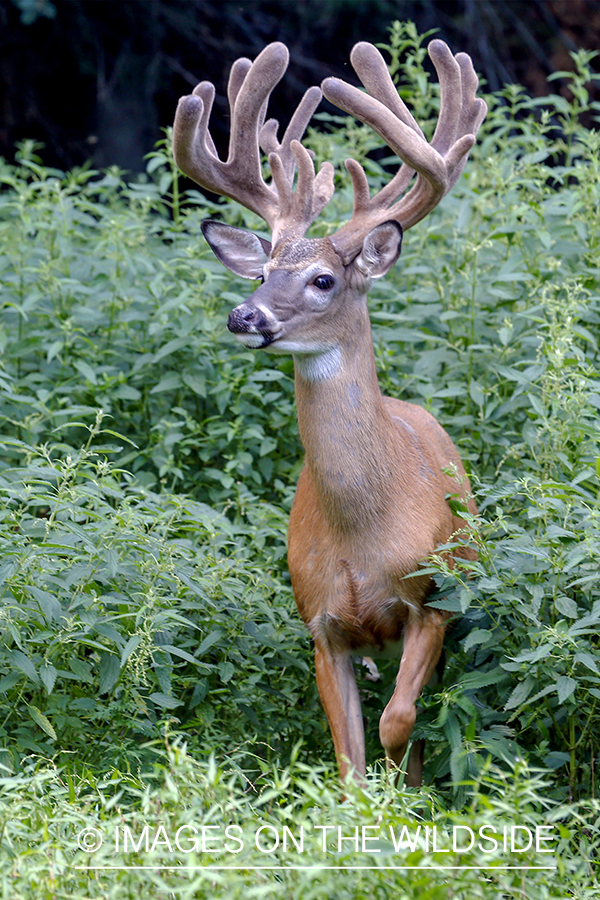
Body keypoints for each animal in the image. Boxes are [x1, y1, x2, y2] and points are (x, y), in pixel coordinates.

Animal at [172, 38, 488, 784]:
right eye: (263, 273)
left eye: (323, 279)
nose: (244, 315)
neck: (362, 534)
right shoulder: (320, 623)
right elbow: (348, 757)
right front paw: (367, 804)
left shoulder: (430, 603)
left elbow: (399, 722)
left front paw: (408, 796)